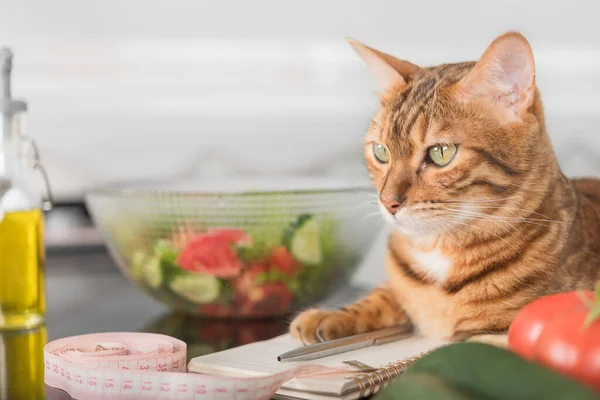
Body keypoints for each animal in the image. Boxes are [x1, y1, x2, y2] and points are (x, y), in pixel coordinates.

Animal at [290, 32, 600, 346]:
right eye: (380, 152)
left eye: (440, 153)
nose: (388, 202)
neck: (439, 249)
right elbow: (384, 295)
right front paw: (329, 316)